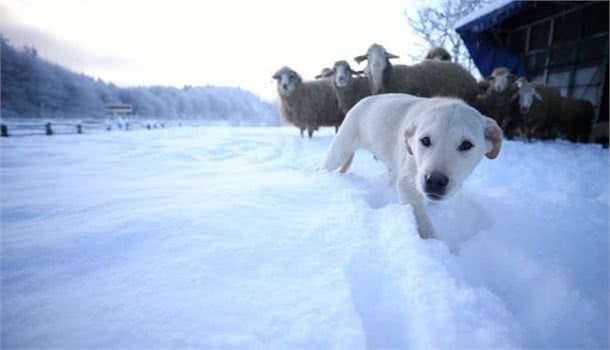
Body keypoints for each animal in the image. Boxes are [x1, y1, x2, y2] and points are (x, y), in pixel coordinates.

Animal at [318, 94, 498, 239]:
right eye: (425, 140)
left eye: (466, 145)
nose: (435, 181)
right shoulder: (408, 183)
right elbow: (422, 221)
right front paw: (432, 244)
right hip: (339, 151)